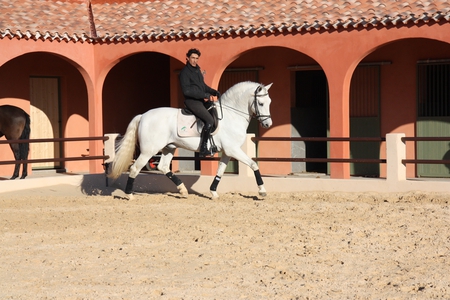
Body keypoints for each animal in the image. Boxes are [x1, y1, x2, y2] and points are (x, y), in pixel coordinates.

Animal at [108, 81, 274, 199]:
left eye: (270, 102)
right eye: (261, 103)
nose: (268, 124)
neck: (231, 116)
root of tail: (143, 116)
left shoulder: (228, 152)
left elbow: (220, 171)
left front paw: (213, 192)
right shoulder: (233, 150)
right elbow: (253, 164)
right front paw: (262, 191)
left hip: (169, 147)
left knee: (162, 166)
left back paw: (182, 190)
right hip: (149, 151)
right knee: (135, 168)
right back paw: (129, 195)